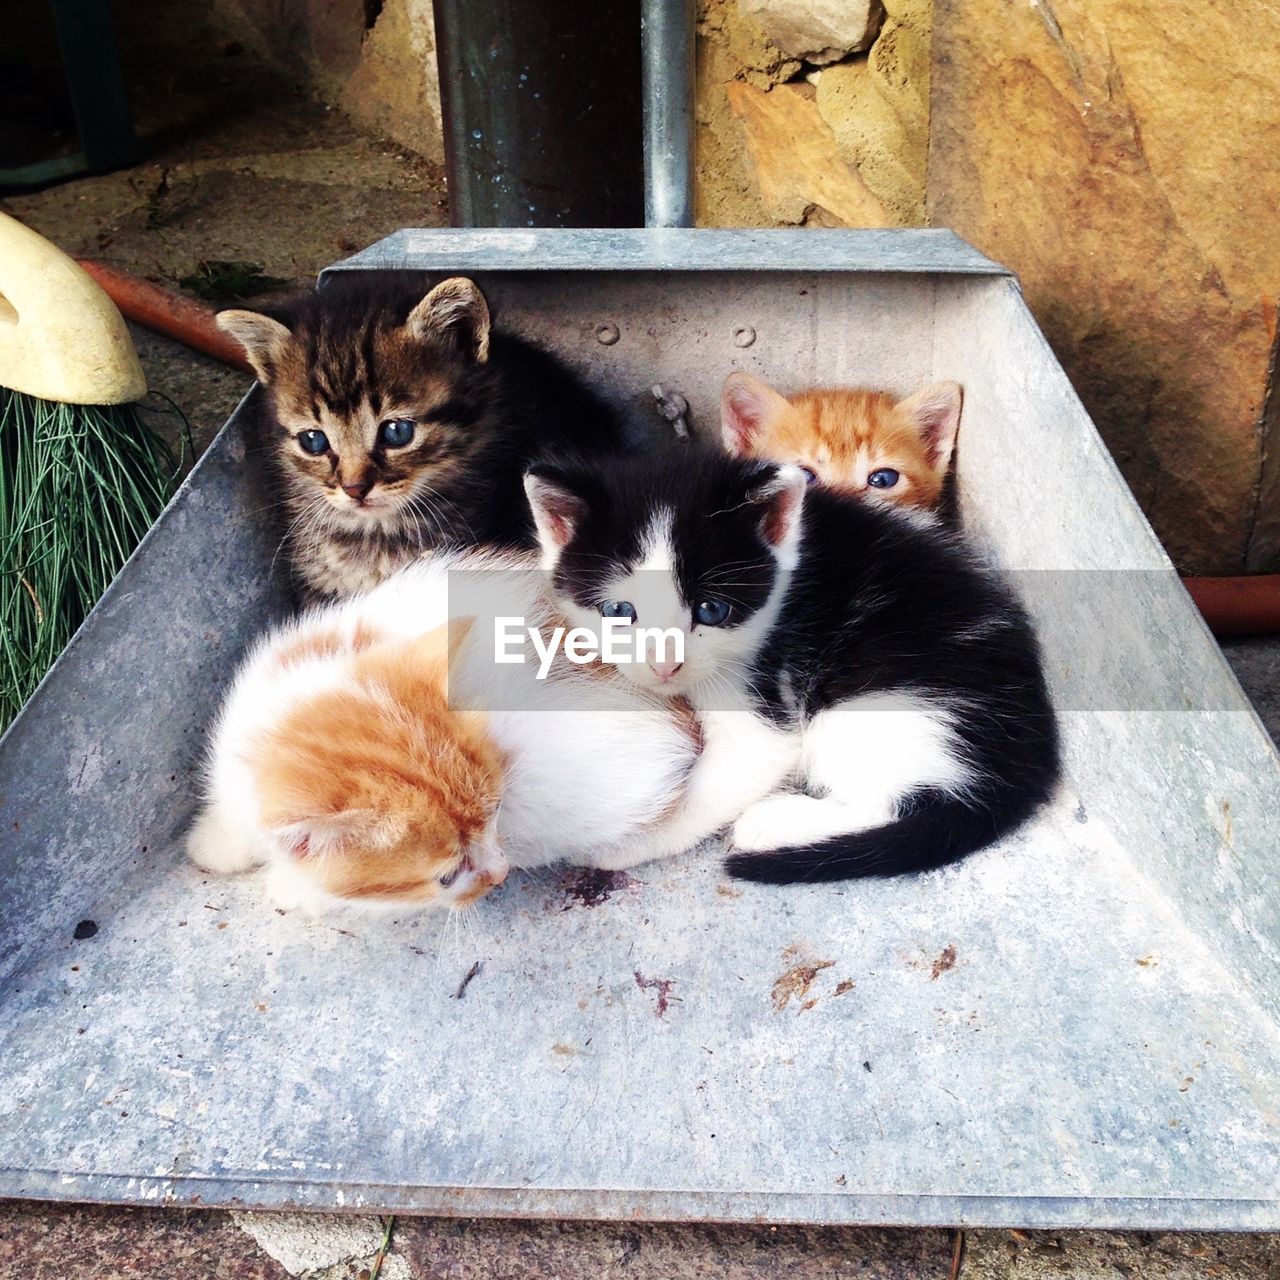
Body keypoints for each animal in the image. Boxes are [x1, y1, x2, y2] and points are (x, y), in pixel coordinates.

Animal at [519, 448, 1059, 880]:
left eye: (711, 610)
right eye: (617, 610)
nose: (665, 666)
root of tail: (1028, 760)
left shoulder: (760, 688)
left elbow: (736, 768)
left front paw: (625, 840)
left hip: (882, 703)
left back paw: (775, 821)